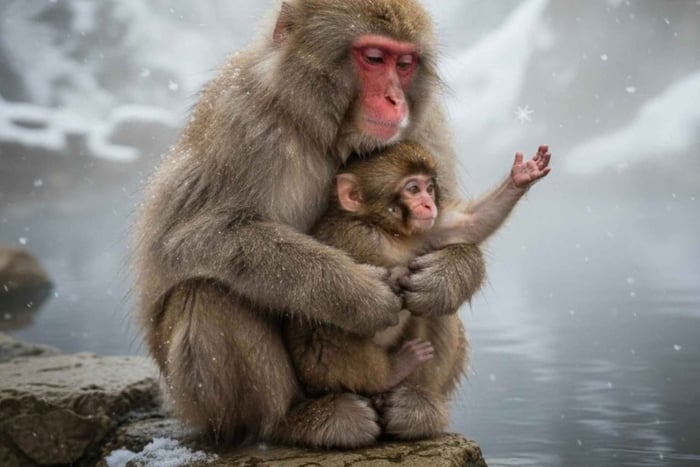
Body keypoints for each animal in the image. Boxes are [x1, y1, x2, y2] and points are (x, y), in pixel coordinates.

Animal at [132, 0, 487, 449]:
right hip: (198, 402)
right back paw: (294, 421)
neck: (332, 134)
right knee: (207, 292)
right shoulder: (240, 119)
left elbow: (449, 228)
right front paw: (357, 295)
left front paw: (444, 277)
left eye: (405, 64)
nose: (395, 100)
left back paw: (413, 403)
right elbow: (188, 239)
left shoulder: (428, 126)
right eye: (374, 58)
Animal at [285, 141, 551, 439]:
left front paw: (521, 177)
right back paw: (390, 372)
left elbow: (466, 226)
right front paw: (395, 277)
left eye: (429, 187)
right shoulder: (353, 236)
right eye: (413, 189)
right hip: (317, 371)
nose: (428, 203)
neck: (383, 229)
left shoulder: (423, 232)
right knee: (331, 328)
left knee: (425, 308)